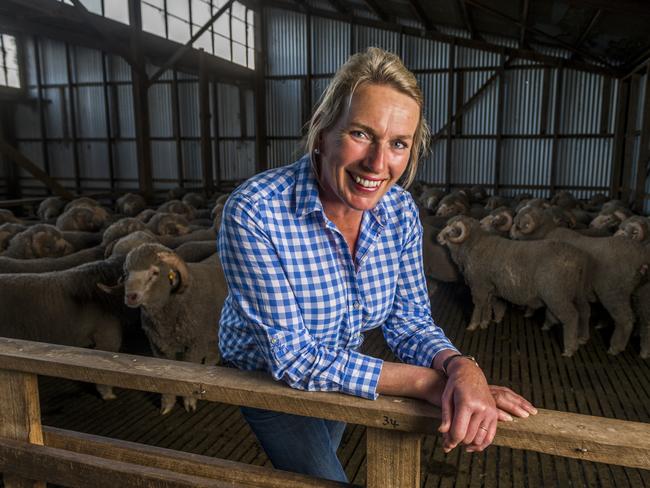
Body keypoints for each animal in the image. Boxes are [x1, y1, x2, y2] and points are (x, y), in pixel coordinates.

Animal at [104, 242, 228, 414]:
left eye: (155, 273)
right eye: (126, 273)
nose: (130, 296)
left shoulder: (195, 345)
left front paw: (189, 403)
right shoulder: (159, 347)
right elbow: (165, 378)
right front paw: (167, 405)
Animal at [436, 215, 592, 356]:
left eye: (452, 230)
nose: (437, 238)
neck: (473, 245)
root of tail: (579, 260)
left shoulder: (479, 284)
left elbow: (479, 305)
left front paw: (473, 325)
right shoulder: (489, 286)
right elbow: (488, 304)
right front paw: (486, 321)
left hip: (556, 294)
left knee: (571, 316)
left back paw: (570, 349)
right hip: (578, 291)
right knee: (584, 311)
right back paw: (582, 338)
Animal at [508, 206, 644, 354]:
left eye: (519, 225)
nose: (511, 235)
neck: (546, 233)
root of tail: (639, 257)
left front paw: (546, 323)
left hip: (614, 293)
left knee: (625, 319)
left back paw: (615, 348)